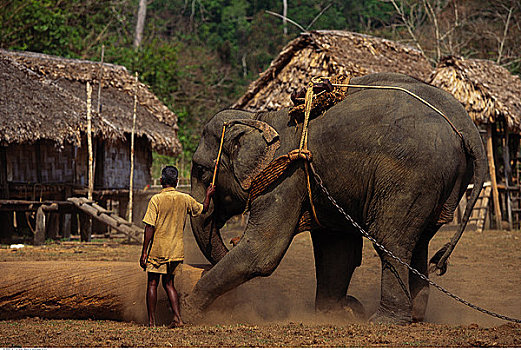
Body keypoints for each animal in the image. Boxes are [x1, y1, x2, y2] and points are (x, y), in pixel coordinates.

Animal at [186, 72, 484, 324]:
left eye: (200, 170)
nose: (231, 242)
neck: (261, 118)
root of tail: (465, 123)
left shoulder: (286, 176)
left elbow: (262, 252)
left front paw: (187, 312)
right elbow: (336, 248)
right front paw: (336, 312)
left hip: (411, 175)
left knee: (391, 239)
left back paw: (384, 321)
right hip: (438, 183)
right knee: (418, 241)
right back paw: (415, 317)